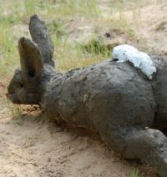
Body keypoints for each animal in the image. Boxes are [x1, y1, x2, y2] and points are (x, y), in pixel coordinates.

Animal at [7, 15, 167, 177]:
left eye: (20, 84)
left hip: (116, 128)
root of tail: (148, 75)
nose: (8, 93)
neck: (48, 83)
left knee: (152, 140)